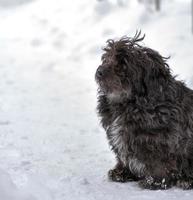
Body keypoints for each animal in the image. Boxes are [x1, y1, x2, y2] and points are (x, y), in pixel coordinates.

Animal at [95, 30, 193, 189]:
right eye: (107, 58)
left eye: (123, 64)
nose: (99, 71)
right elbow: (123, 157)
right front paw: (121, 172)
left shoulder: (158, 141)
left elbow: (159, 163)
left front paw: (155, 181)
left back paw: (186, 180)